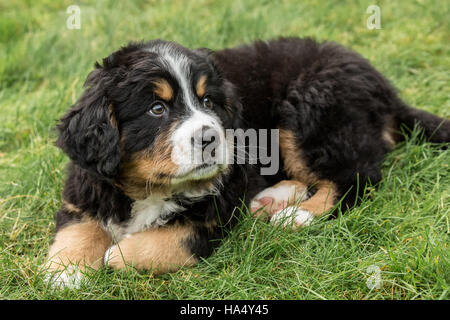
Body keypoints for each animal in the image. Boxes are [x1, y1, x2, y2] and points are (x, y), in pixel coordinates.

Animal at [46, 37, 450, 288]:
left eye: (208, 102)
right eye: (156, 109)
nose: (210, 137)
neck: (151, 189)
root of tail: (383, 85)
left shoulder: (219, 208)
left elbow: (178, 237)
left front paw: (119, 255)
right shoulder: (86, 187)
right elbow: (77, 228)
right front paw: (65, 273)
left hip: (311, 110)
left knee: (356, 179)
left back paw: (298, 215)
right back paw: (273, 199)